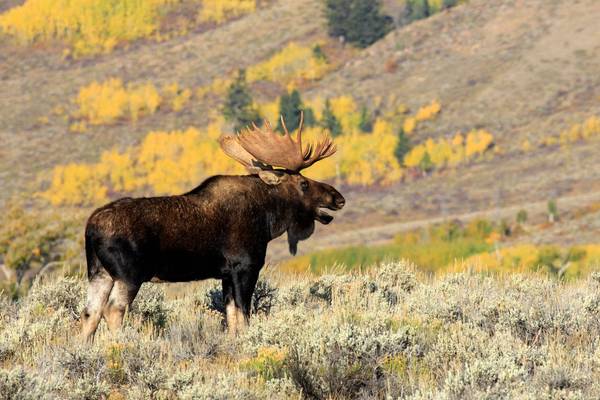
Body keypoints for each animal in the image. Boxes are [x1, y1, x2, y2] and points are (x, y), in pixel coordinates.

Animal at [82, 113, 345, 342]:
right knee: (113, 309)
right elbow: (244, 313)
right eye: (303, 183)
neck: (268, 221)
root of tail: (91, 228)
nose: (338, 197)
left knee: (90, 312)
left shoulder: (226, 274)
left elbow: (231, 316)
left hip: (99, 272)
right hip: (129, 274)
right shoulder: (245, 266)